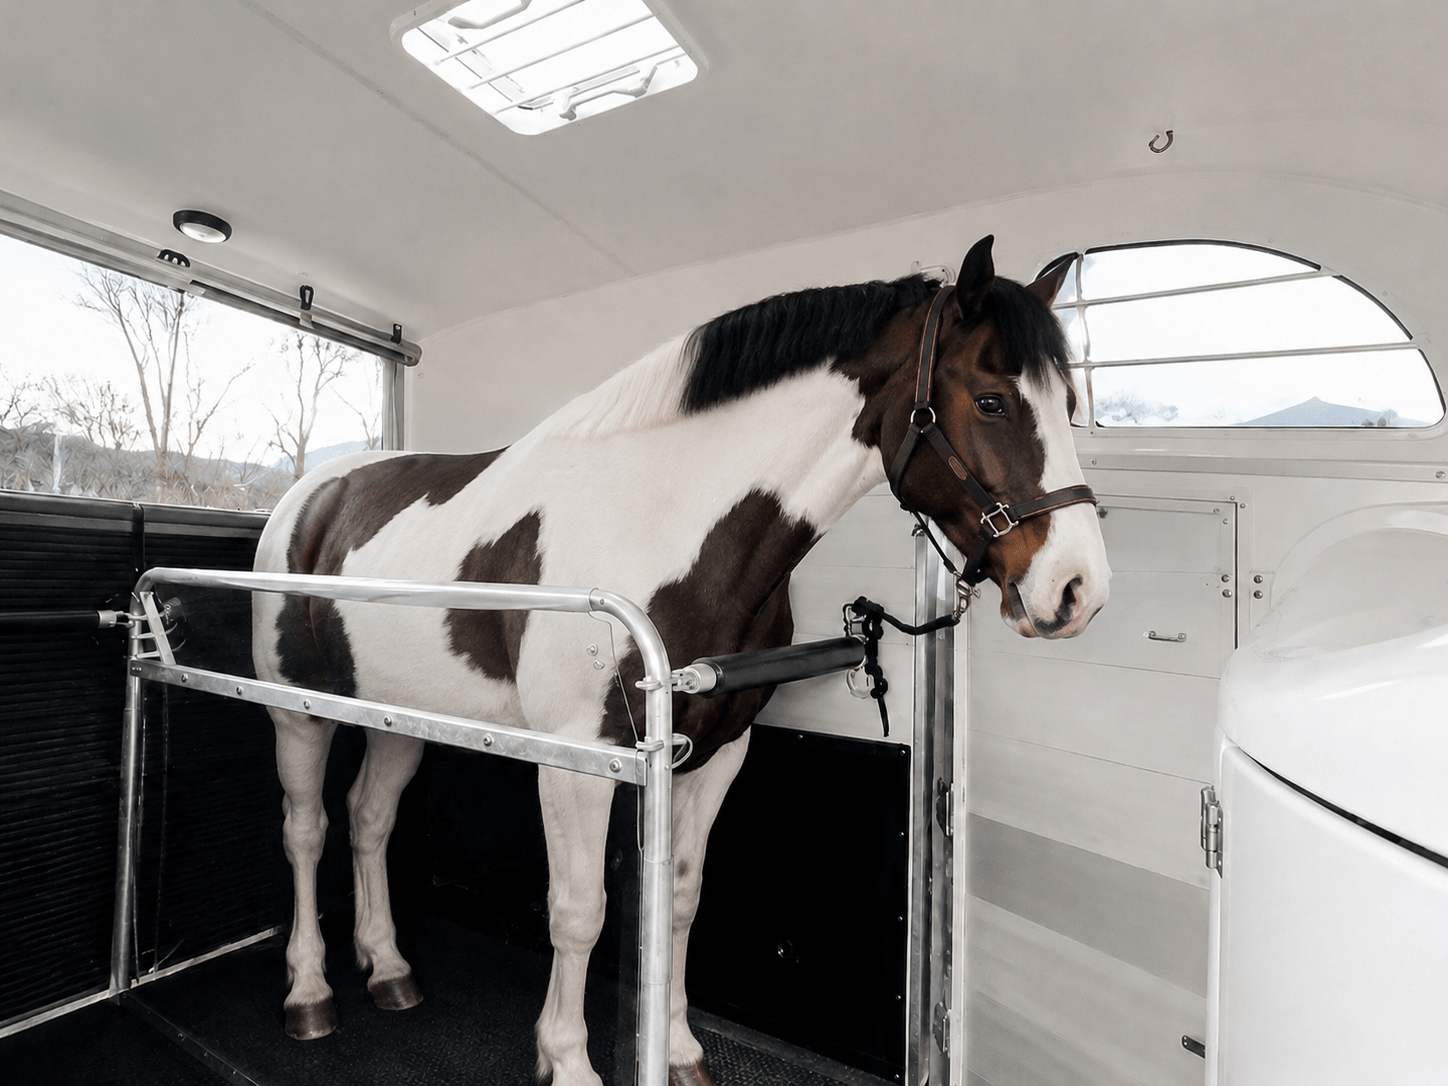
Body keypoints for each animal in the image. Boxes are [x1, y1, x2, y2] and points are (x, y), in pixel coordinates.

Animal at [250, 235, 1111, 1086]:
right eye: (992, 401)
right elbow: (580, 910)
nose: (1079, 589)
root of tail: (309, 499)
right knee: (306, 831)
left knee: (368, 820)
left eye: (1068, 406)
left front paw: (677, 1047)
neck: (662, 524)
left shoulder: (716, 753)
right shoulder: (577, 761)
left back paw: (389, 968)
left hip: (396, 714)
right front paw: (568, 1061)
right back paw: (309, 991)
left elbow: (680, 900)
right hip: (297, 711)